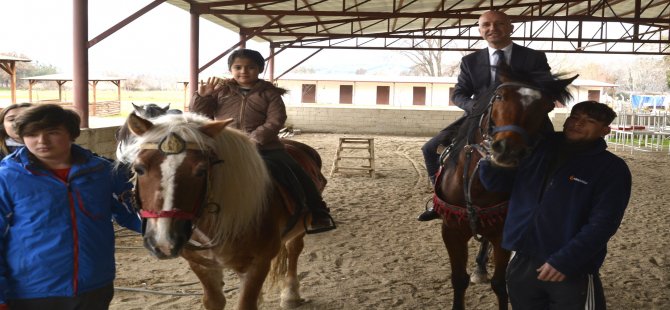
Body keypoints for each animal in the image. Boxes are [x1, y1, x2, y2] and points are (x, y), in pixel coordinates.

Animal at [119, 112, 328, 308]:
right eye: (139, 169)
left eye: (201, 170)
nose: (163, 242)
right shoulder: (202, 266)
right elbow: (214, 301)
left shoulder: (258, 264)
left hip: (300, 229)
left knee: (294, 250)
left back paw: (290, 294)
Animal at [436, 68, 576, 310]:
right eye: (500, 96)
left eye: (547, 107)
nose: (508, 149)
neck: (477, 185)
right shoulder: (452, 231)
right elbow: (459, 280)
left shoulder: (501, 233)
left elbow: (500, 284)